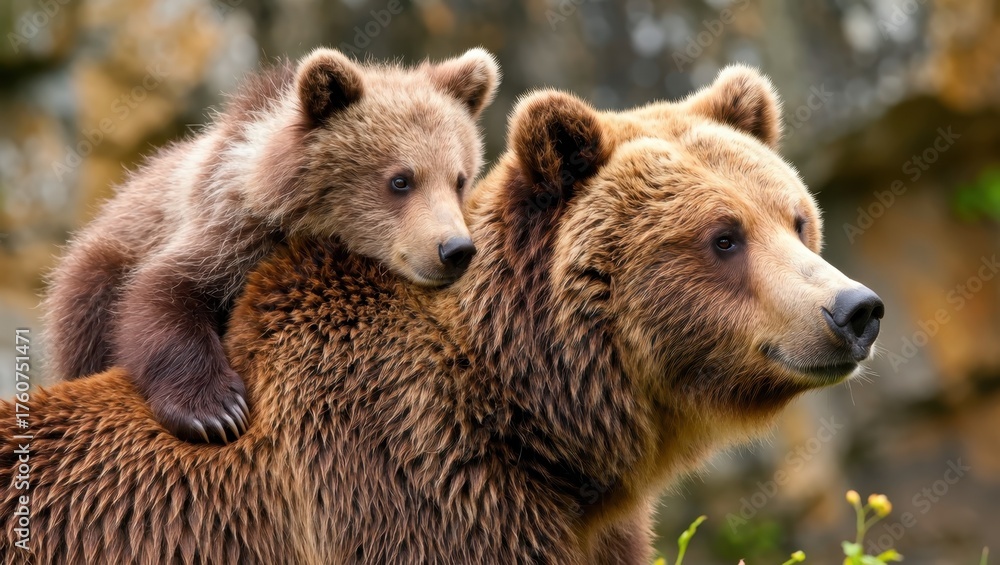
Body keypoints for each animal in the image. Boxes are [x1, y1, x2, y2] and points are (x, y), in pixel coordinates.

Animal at [41, 47, 500, 444]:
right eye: (401, 180)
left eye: (459, 179)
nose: (455, 249)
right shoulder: (224, 229)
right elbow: (161, 293)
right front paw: (215, 411)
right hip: (99, 264)